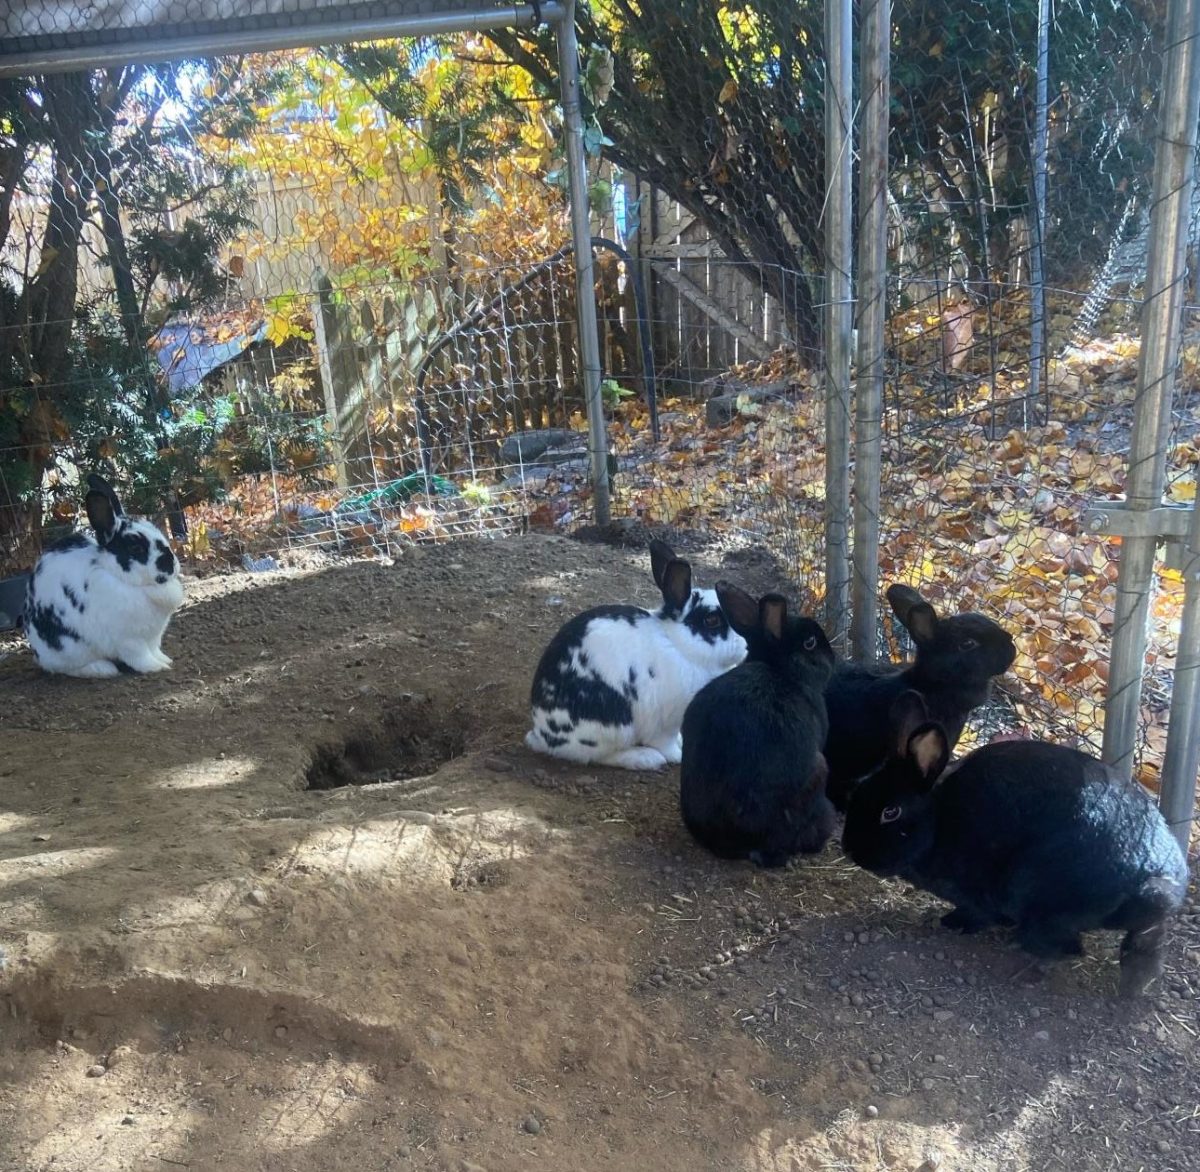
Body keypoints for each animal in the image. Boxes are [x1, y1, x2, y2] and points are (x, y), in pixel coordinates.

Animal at [25, 472, 184, 676]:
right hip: (70, 649)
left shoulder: (153, 638)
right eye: (135, 548)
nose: (171, 563)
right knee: (68, 668)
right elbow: (140, 657)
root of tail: (37, 654)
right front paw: (156, 667)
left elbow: (155, 650)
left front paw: (165, 660)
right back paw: (103, 669)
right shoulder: (129, 641)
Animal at [528, 539, 744, 767]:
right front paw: (676, 756)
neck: (678, 644)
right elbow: (665, 743)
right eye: (712, 620)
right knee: (599, 756)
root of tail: (541, 734)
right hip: (614, 727)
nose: (744, 644)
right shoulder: (665, 723)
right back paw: (645, 758)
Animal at [844, 690, 1190, 1002]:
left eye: (891, 812)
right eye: (858, 790)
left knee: (1063, 947)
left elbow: (977, 913)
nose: (850, 850)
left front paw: (951, 923)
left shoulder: (975, 890)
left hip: (1039, 895)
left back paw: (1025, 965)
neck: (940, 818)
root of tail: (1150, 883)